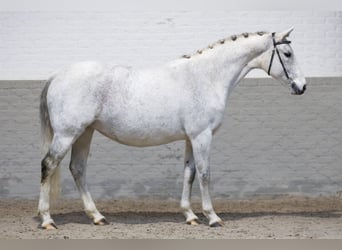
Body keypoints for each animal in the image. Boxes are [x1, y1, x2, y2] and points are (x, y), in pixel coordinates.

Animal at [38, 27, 308, 229]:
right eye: (287, 53)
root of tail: (57, 75)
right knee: (48, 165)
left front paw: (190, 216)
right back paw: (47, 220)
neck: (207, 76)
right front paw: (212, 217)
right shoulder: (202, 136)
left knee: (78, 169)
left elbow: (189, 173)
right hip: (67, 134)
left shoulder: (191, 138)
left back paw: (97, 216)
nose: (302, 86)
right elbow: (205, 173)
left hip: (85, 133)